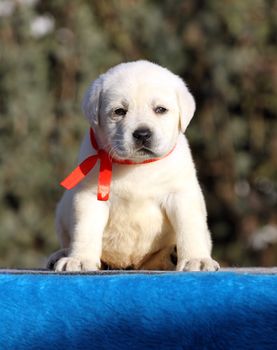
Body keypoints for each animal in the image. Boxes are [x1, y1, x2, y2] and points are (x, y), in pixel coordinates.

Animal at [48, 60, 219, 274]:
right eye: (119, 111)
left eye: (160, 109)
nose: (143, 134)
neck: (136, 166)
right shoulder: (90, 196)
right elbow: (85, 230)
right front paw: (79, 259)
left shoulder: (181, 194)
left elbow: (190, 227)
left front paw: (196, 259)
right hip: (62, 211)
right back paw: (60, 255)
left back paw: (172, 255)